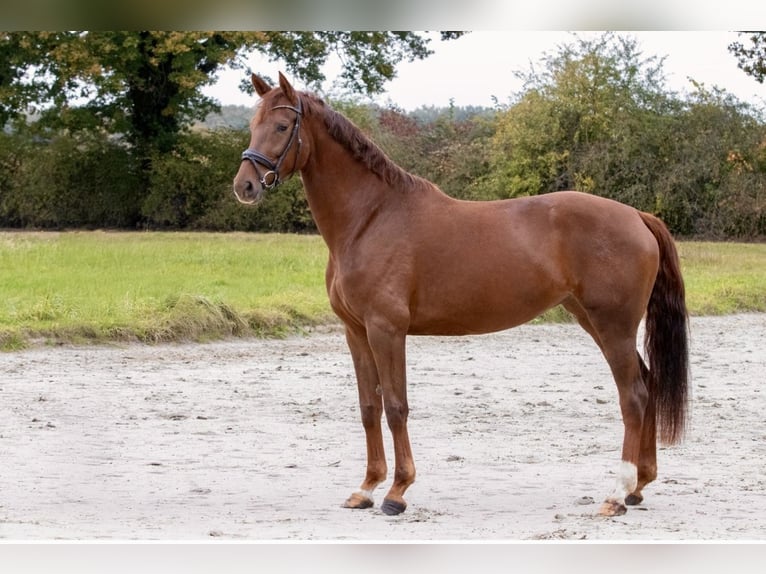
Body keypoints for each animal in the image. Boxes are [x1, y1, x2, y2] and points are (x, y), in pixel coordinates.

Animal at [231, 73, 692, 520]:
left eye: (282, 126)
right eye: (252, 124)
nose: (245, 186)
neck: (371, 218)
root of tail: (636, 215)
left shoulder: (386, 330)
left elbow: (396, 406)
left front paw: (397, 492)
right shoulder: (356, 332)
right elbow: (368, 407)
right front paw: (365, 489)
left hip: (613, 325)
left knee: (633, 396)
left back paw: (616, 494)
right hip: (591, 319)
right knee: (647, 384)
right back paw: (638, 486)